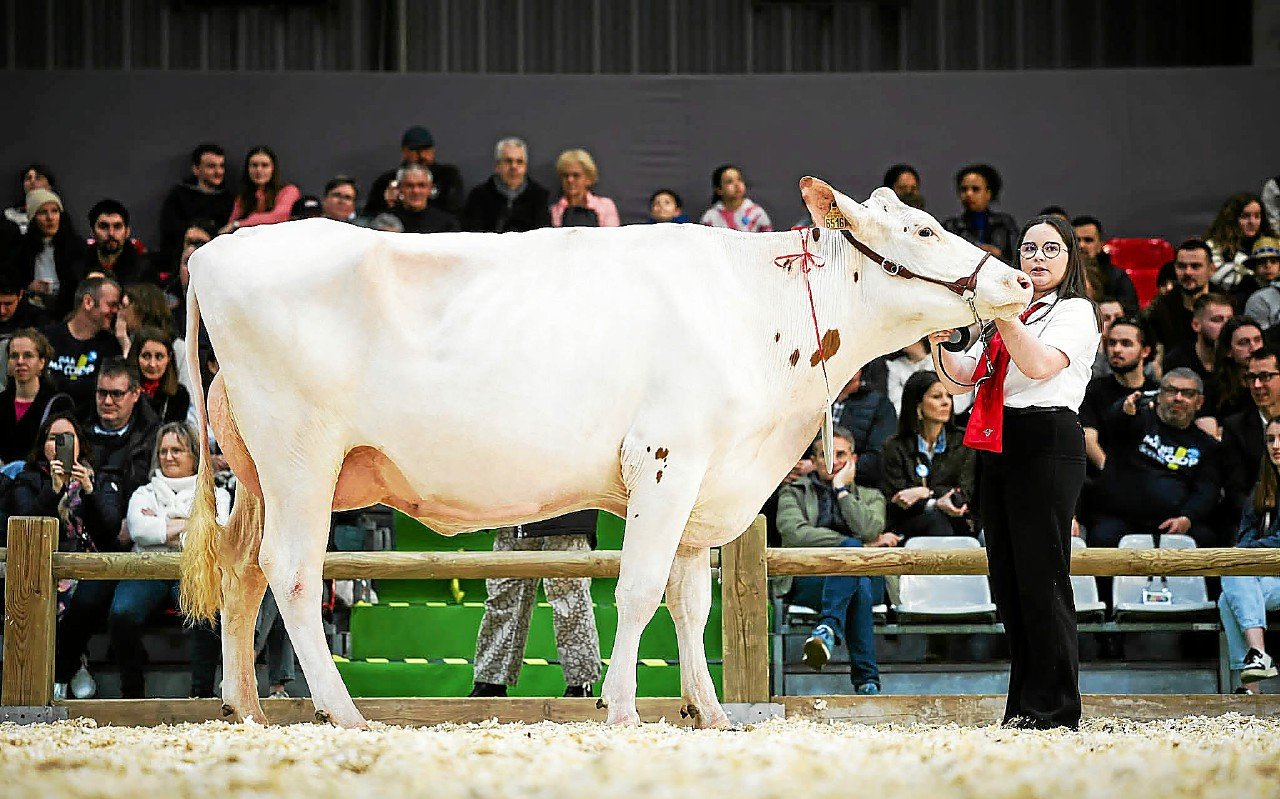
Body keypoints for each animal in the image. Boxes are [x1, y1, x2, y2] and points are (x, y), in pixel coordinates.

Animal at [179, 177, 1032, 729]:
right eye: (922, 230)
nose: (1021, 279)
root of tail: (214, 253)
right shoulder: (667, 458)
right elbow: (640, 589)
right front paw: (622, 708)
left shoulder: (704, 480)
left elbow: (690, 603)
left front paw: (710, 712)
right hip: (301, 453)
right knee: (291, 571)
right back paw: (345, 711)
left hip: (257, 472)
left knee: (243, 570)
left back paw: (246, 708)